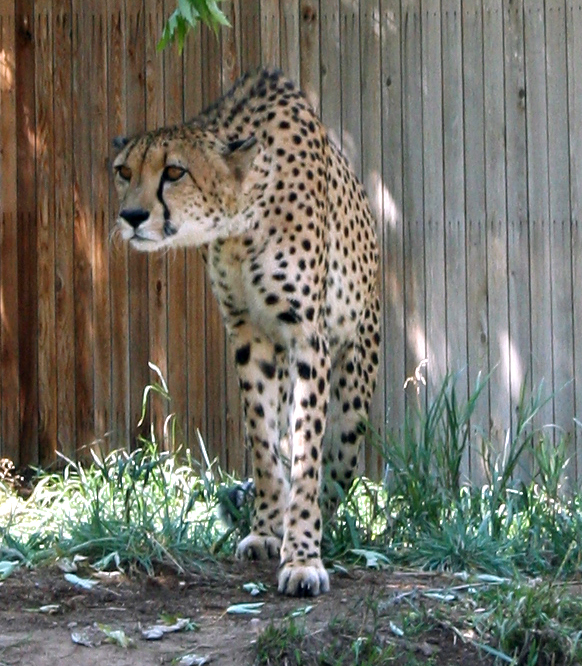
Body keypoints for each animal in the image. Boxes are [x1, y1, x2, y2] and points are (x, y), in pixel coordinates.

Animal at [113, 68, 384, 596]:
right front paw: (265, 529)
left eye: (173, 172)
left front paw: (302, 554)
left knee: (335, 465)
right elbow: (261, 440)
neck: (242, 218)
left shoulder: (307, 336)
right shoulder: (247, 332)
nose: (131, 217)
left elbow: (306, 457)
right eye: (123, 172)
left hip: (354, 394)